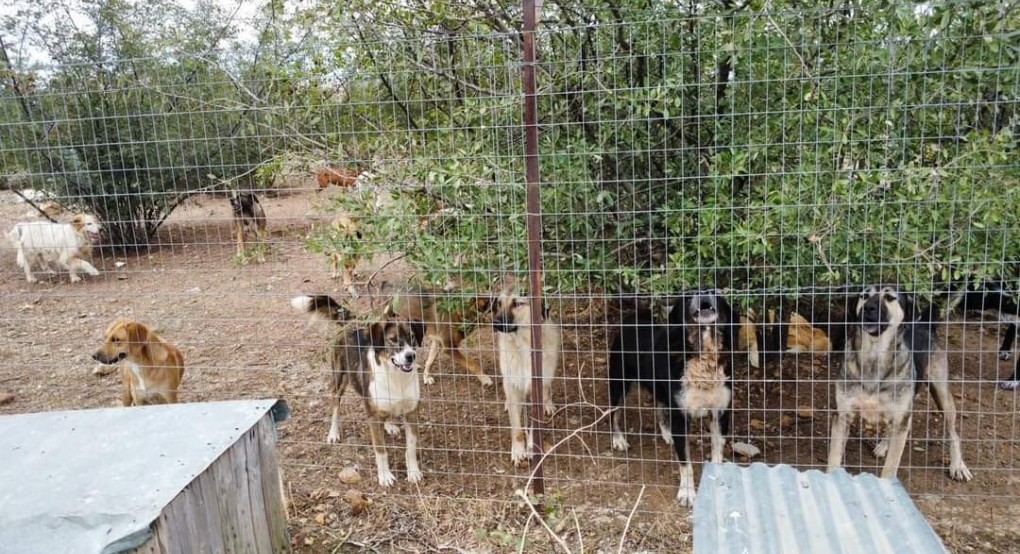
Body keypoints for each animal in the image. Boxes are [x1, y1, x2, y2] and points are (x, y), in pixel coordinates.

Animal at [607, 289, 738, 508]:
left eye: (715, 293)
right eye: (688, 296)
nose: (704, 292)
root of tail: (634, 318)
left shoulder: (720, 413)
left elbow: (717, 453)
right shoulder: (680, 416)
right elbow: (686, 464)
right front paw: (687, 494)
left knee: (659, 407)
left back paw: (667, 434)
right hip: (619, 383)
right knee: (613, 413)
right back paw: (618, 439)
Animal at [828, 285, 971, 481]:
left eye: (890, 297)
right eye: (864, 296)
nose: (868, 308)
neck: (874, 357)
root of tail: (924, 324)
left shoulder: (901, 418)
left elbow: (890, 467)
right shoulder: (843, 415)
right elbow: (834, 458)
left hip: (942, 397)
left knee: (953, 434)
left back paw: (958, 465)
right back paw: (883, 445)